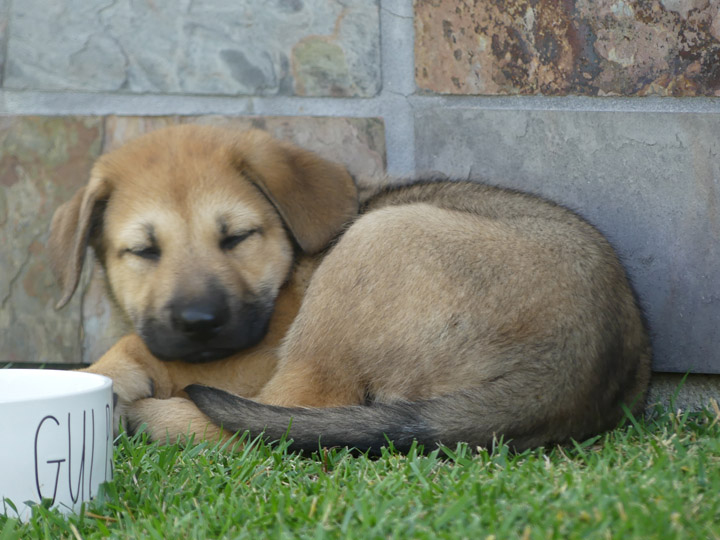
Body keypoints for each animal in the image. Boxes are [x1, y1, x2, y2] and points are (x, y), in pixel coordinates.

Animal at [46, 124, 652, 454]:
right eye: (144, 251)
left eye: (237, 237)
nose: (199, 322)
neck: (288, 267)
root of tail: (573, 367)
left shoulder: (255, 348)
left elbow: (147, 351)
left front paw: (109, 377)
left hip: (375, 244)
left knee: (284, 415)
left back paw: (148, 420)